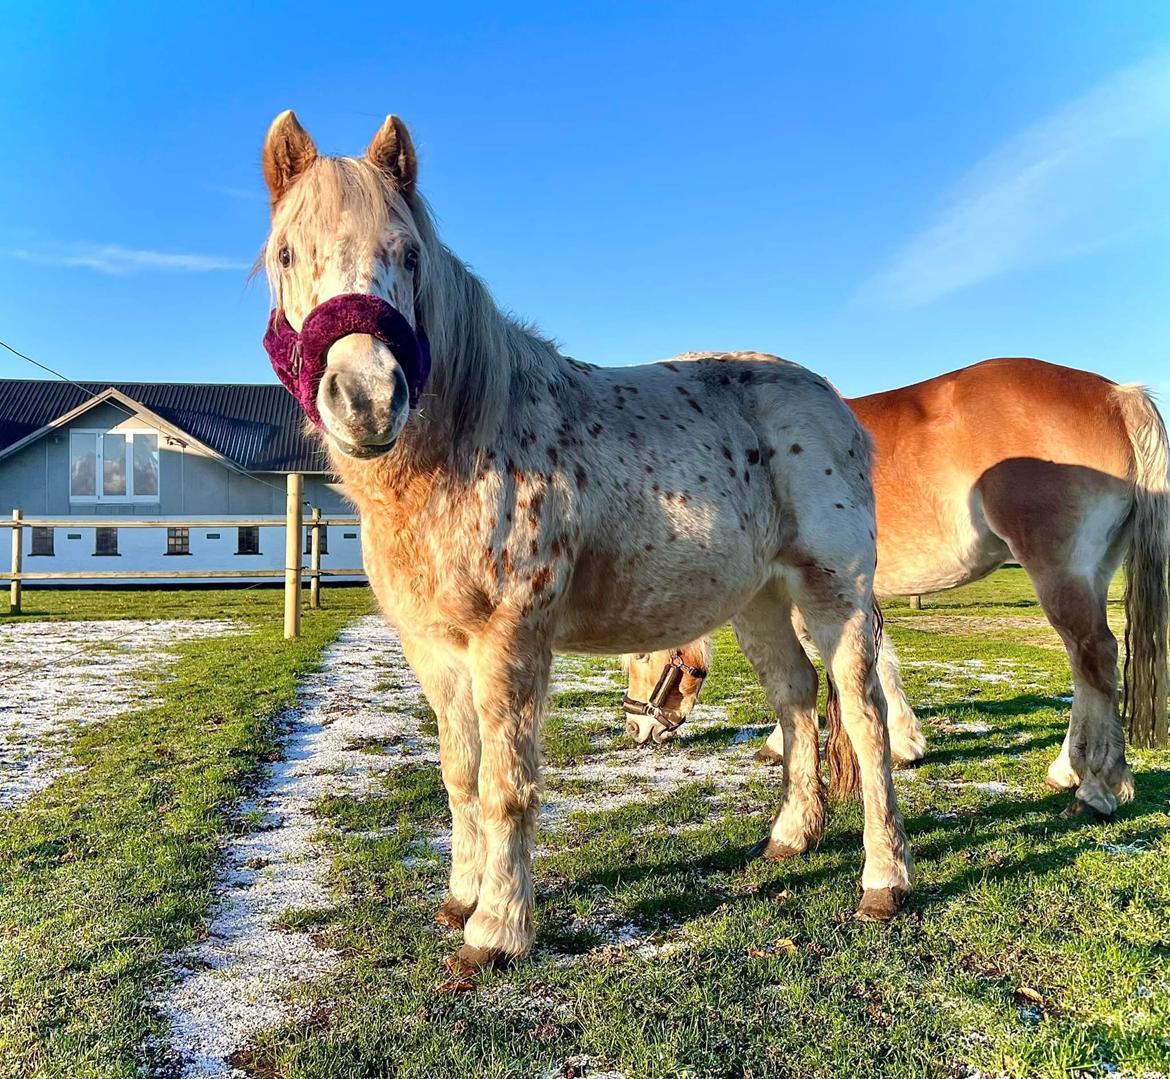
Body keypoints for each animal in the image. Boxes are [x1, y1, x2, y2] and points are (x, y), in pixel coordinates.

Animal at [258, 111, 912, 973]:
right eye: (287, 254)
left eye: (408, 254)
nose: (366, 399)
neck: (466, 441)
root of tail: (836, 406)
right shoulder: (435, 649)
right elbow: (460, 775)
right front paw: (460, 898)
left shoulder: (509, 641)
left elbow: (507, 785)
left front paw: (496, 930)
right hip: (761, 600)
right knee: (796, 696)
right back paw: (789, 838)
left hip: (834, 594)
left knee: (865, 721)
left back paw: (884, 882)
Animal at [627, 358, 1165, 809]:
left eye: (641, 655)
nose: (636, 726)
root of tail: (1116, 395)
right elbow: (882, 661)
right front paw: (906, 742)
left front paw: (780, 744)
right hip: (1093, 572)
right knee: (1083, 666)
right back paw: (1066, 770)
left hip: (1059, 572)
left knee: (1095, 657)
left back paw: (1098, 789)